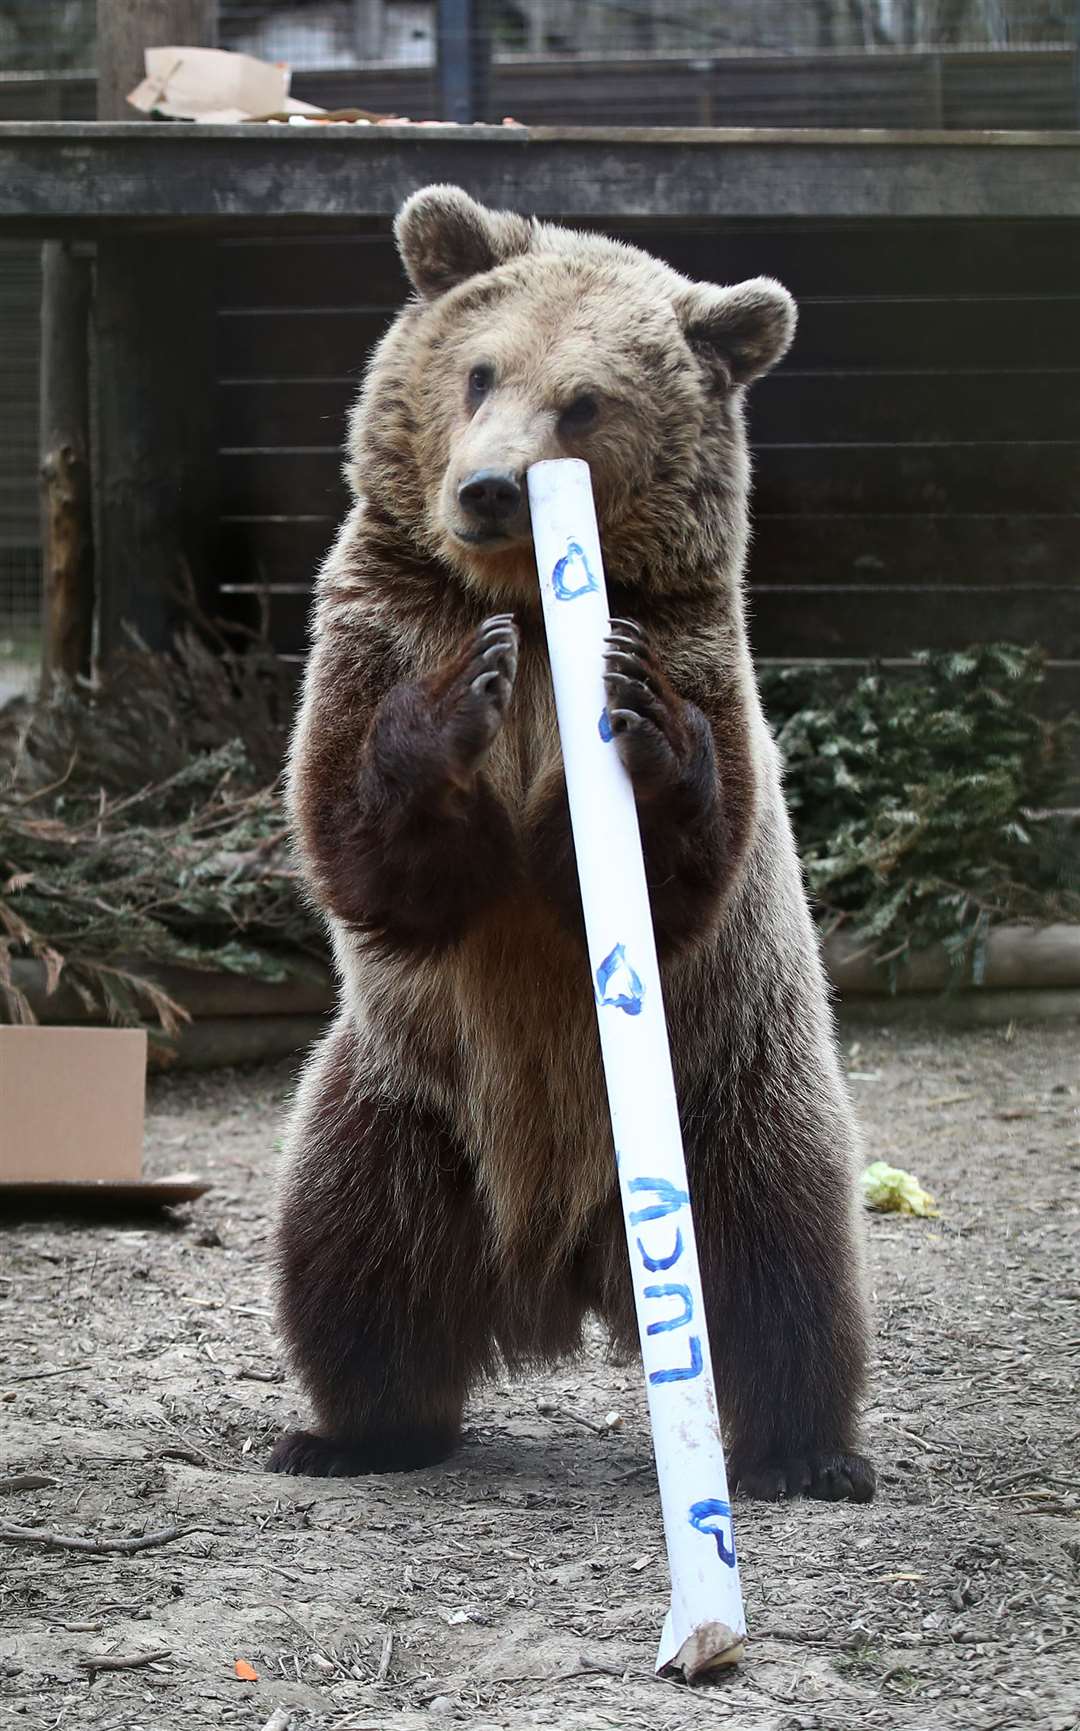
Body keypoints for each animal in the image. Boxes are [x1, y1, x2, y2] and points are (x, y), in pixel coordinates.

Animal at [270, 179, 879, 1502]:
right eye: (480, 371)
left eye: (586, 400)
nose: (489, 489)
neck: (529, 603)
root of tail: (559, 1272)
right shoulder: (371, 636)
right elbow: (372, 851)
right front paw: (456, 701)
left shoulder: (696, 651)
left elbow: (669, 865)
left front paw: (645, 733)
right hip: (404, 1106)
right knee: (352, 1261)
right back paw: (349, 1433)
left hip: (732, 1099)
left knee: (786, 1271)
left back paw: (808, 1453)